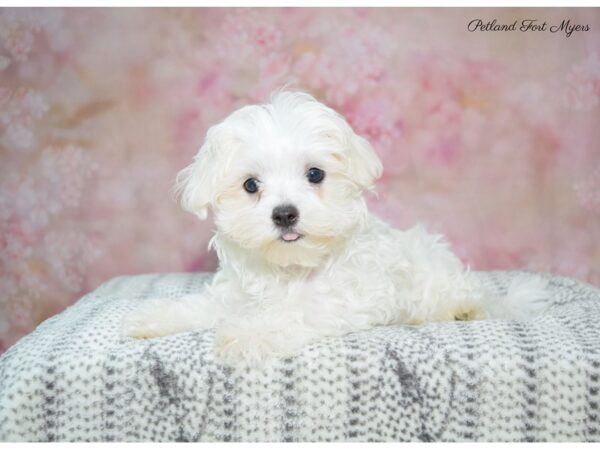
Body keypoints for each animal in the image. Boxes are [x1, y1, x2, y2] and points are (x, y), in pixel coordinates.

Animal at [125, 89, 548, 368]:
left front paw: (248, 335)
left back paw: (461, 308)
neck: (291, 268)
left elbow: (290, 315)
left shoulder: (339, 301)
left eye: (315, 174)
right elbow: (202, 306)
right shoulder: (236, 296)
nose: (285, 214)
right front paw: (155, 317)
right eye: (250, 185)